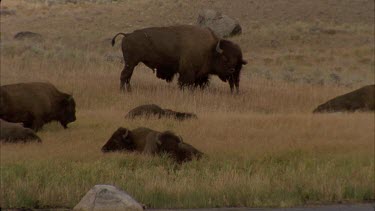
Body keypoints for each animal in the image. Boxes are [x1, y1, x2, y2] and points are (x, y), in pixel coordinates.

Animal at [111, 24, 247, 93]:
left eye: (237, 61)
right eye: (224, 58)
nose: (232, 71)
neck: (210, 49)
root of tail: (127, 35)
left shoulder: (201, 74)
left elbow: (200, 83)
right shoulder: (187, 72)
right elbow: (185, 83)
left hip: (132, 63)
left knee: (127, 77)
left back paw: (129, 90)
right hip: (130, 62)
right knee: (124, 76)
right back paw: (123, 91)